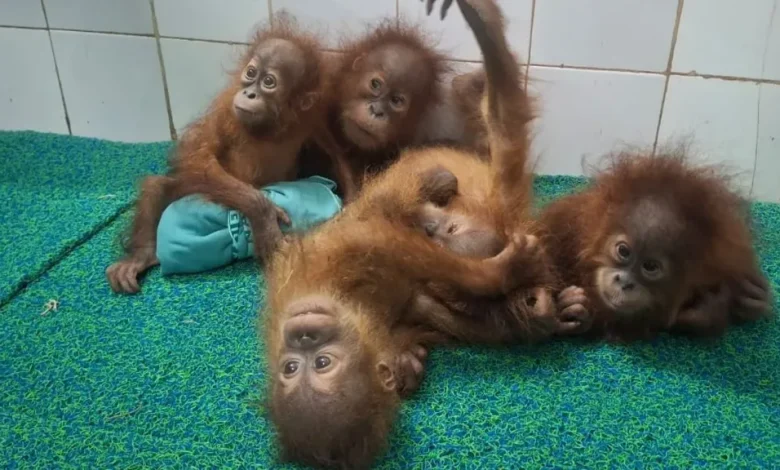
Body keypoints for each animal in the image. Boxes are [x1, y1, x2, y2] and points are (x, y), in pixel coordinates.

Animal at [106, 17, 345, 293]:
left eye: (269, 82)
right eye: (251, 73)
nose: (249, 93)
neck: (269, 127)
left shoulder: (313, 116)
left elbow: (334, 154)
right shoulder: (226, 109)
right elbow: (199, 157)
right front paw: (263, 216)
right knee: (158, 187)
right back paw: (141, 256)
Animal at [263, 1, 580, 467]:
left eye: (319, 363)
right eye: (292, 368)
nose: (302, 335)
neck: (354, 310)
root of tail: (507, 212)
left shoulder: (328, 267)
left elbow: (378, 234)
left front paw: (510, 277)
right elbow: (435, 295)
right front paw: (525, 301)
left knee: (498, 125)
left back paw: (483, 37)